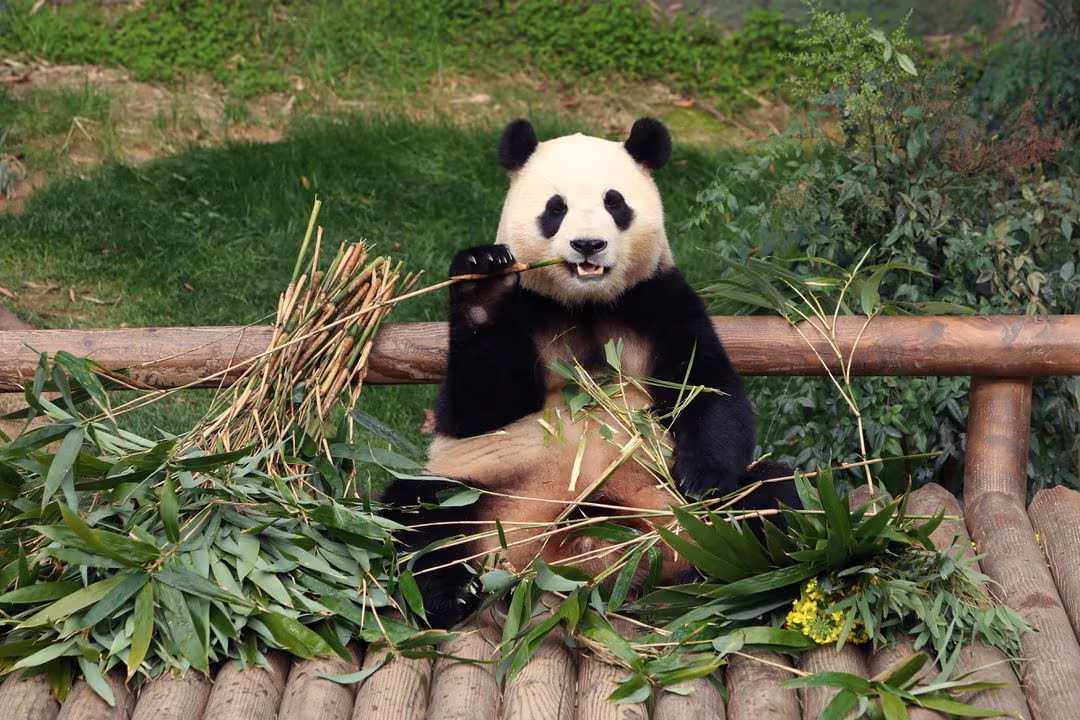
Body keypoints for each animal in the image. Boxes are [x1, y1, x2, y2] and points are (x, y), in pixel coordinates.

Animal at [383, 118, 797, 627]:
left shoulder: (659, 300)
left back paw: (723, 576)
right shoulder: (529, 309)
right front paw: (483, 284)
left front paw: (703, 477)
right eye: (555, 208)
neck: (586, 303)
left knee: (767, 495)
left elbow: (706, 386)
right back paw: (451, 594)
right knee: (422, 514)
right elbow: (477, 407)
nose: (588, 245)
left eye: (614, 202)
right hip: (483, 494)